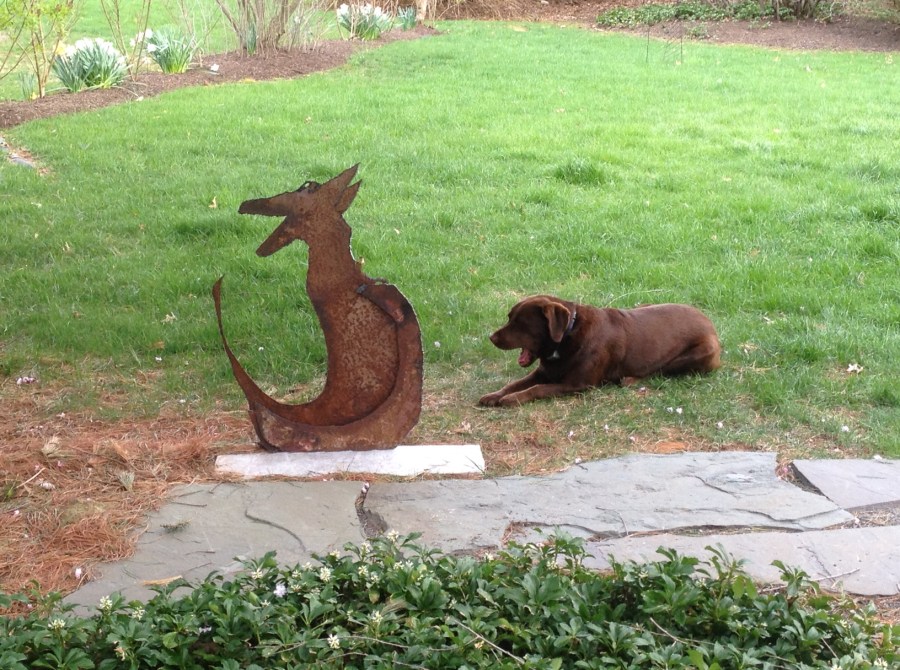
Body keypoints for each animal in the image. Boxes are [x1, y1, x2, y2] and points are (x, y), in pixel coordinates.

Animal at [478, 295, 721, 407]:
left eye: (521, 323)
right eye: (510, 318)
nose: (491, 337)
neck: (566, 336)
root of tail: (709, 321)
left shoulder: (577, 384)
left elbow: (536, 389)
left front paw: (512, 399)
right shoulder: (543, 372)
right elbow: (514, 383)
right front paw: (495, 395)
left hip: (699, 352)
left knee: (660, 370)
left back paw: (630, 379)